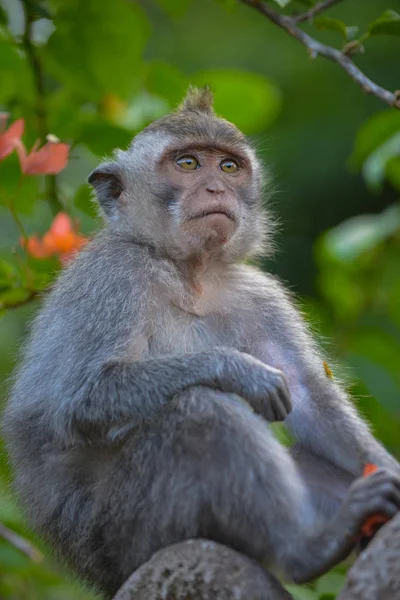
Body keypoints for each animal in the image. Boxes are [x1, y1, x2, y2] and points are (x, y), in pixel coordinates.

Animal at [3, 86, 400, 596]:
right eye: (188, 163)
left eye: (228, 167)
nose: (216, 189)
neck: (187, 272)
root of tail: (106, 576)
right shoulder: (115, 278)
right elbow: (81, 399)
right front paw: (239, 371)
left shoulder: (259, 295)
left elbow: (307, 393)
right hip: (133, 529)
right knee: (199, 410)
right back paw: (309, 547)